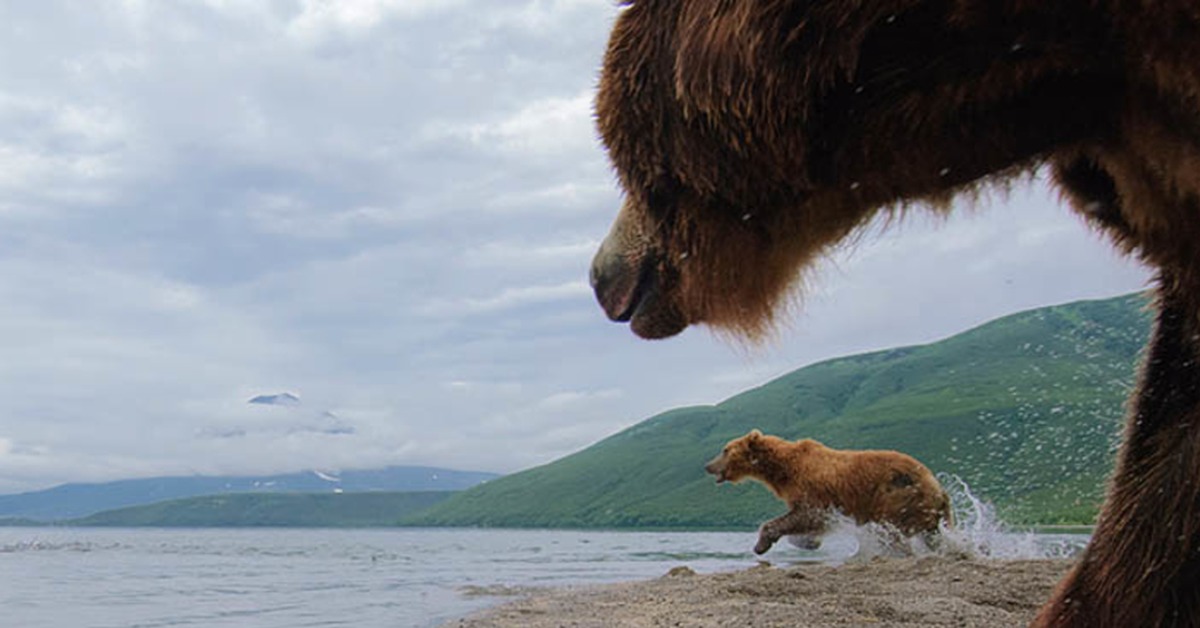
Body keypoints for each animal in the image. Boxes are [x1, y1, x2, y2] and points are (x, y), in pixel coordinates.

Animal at [588, 2, 1200, 624]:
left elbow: (802, 512)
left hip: (903, 498)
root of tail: (941, 491)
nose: (708, 466)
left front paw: (767, 536)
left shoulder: (820, 488)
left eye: (725, 449)